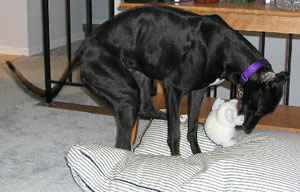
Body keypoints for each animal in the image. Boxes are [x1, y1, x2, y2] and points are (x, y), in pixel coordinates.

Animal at [7, 6, 288, 156]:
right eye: (257, 109)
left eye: (264, 112)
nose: (247, 131)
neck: (223, 47)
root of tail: (85, 45)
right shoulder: (175, 87)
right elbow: (174, 135)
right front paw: (177, 161)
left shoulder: (198, 90)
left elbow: (192, 129)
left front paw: (197, 156)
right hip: (125, 91)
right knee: (123, 141)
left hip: (141, 76)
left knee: (146, 108)